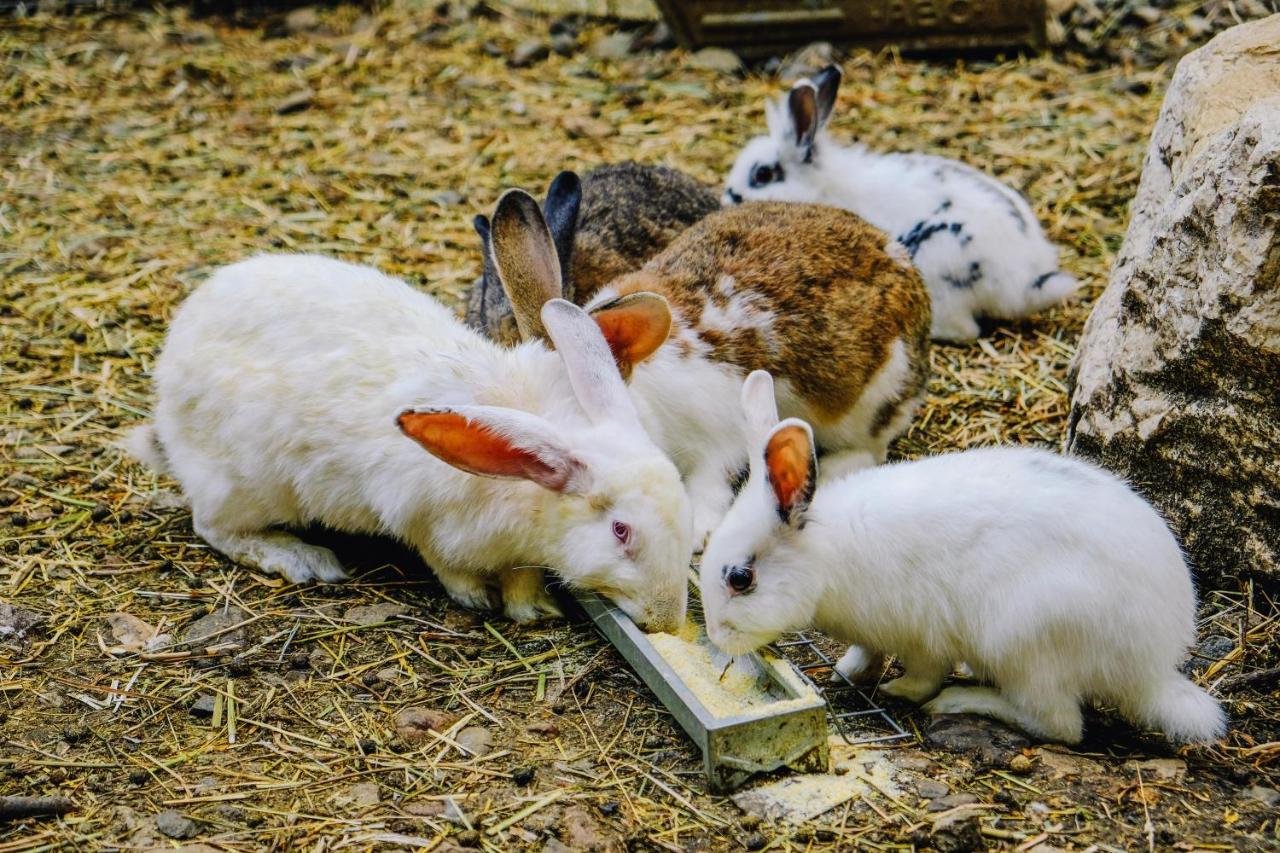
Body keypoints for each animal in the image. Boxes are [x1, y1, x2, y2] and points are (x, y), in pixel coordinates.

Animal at [701, 368, 1228, 742]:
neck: (828, 558)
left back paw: (961, 701)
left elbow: (923, 673)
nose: (717, 637)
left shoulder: (921, 635)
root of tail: (1151, 668)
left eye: (740, 578)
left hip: (1025, 642)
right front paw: (849, 671)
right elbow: (866, 651)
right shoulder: (873, 633)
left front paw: (898, 690)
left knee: (1059, 725)